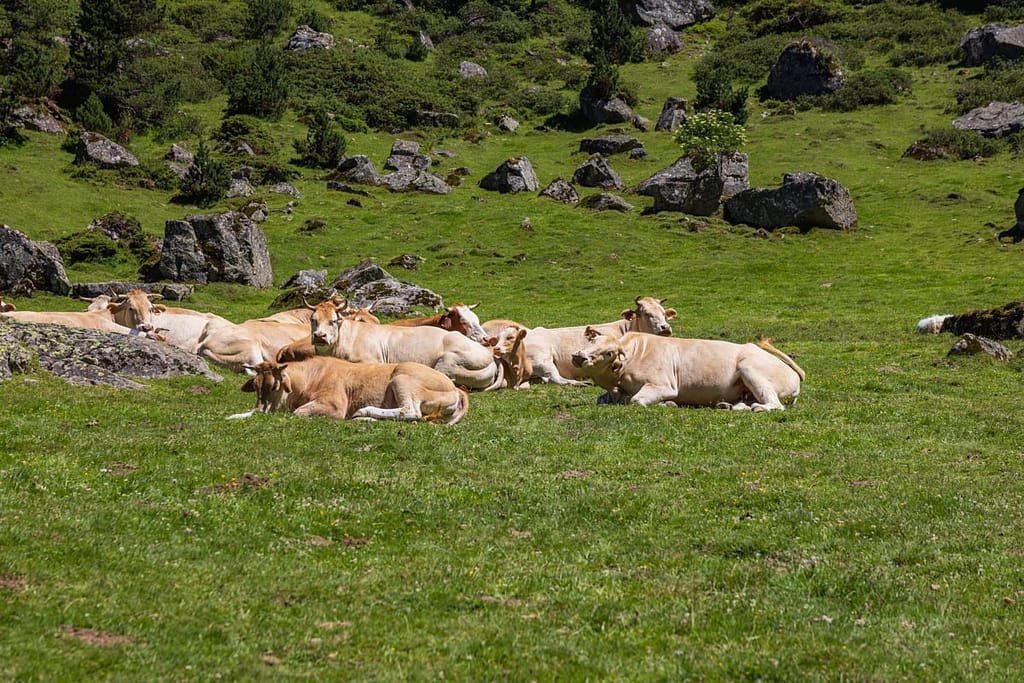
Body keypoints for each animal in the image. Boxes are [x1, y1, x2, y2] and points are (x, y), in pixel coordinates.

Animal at [227, 357, 469, 425]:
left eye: (274, 386)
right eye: (255, 387)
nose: (262, 409)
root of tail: (456, 388)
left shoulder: (334, 405)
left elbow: (299, 413)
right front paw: (235, 415)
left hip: (403, 378)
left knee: (410, 412)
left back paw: (364, 413)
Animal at [569, 328, 804, 411]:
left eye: (608, 353)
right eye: (592, 340)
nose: (579, 356)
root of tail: (793, 374)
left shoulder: (663, 385)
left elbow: (637, 400)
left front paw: (668, 404)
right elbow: (601, 399)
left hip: (749, 368)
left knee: (774, 404)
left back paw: (757, 407)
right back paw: (729, 405)